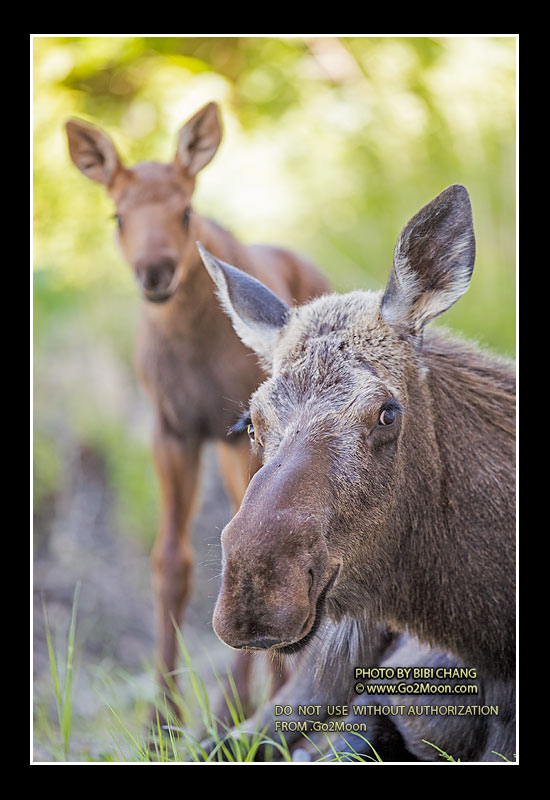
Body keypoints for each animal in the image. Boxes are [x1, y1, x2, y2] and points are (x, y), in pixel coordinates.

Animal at [65, 101, 331, 721]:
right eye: (118, 216)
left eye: (185, 211)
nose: (156, 270)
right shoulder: (173, 431)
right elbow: (172, 563)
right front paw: (162, 717)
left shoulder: (240, 433)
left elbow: (254, 546)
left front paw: (243, 708)